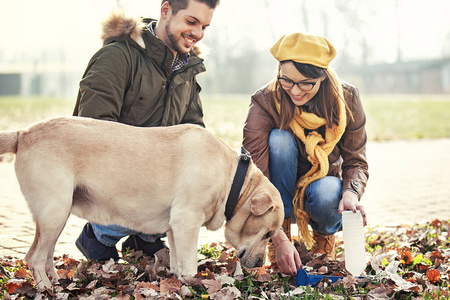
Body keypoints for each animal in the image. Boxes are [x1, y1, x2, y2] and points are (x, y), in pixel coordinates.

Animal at [0, 117, 282, 290]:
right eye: (268, 233)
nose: (261, 265)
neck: (233, 180)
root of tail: (23, 133)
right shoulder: (187, 220)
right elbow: (190, 263)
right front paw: (193, 283)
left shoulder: (175, 227)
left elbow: (178, 260)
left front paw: (178, 283)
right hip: (54, 212)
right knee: (34, 257)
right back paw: (47, 289)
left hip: (57, 216)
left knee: (46, 256)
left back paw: (57, 283)